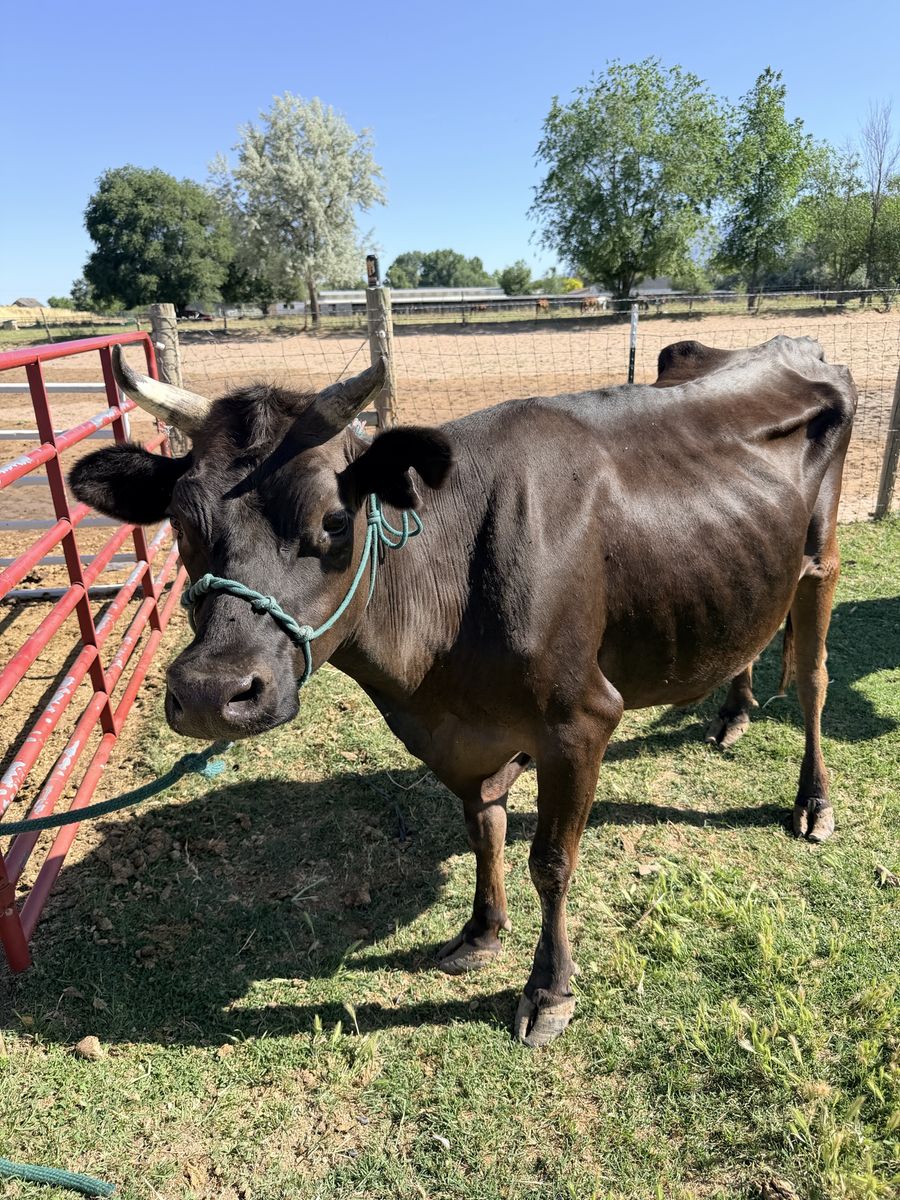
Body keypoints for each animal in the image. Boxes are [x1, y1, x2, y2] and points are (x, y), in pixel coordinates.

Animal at [70, 336, 856, 1047]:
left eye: (334, 519)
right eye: (182, 522)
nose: (212, 691)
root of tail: (798, 347)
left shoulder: (580, 721)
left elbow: (551, 862)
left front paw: (549, 990)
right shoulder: (457, 733)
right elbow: (485, 829)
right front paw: (481, 932)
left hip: (821, 564)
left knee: (814, 682)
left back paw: (813, 803)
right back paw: (732, 715)